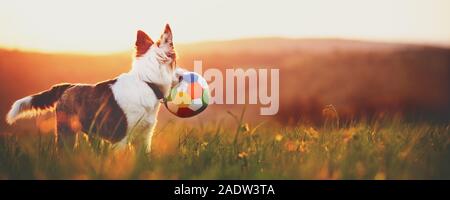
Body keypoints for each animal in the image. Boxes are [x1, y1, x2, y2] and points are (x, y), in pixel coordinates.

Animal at [5, 23, 185, 153]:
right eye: (175, 63)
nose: (182, 76)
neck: (146, 82)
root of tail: (67, 87)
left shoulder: (144, 136)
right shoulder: (120, 137)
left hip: (91, 133)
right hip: (66, 131)